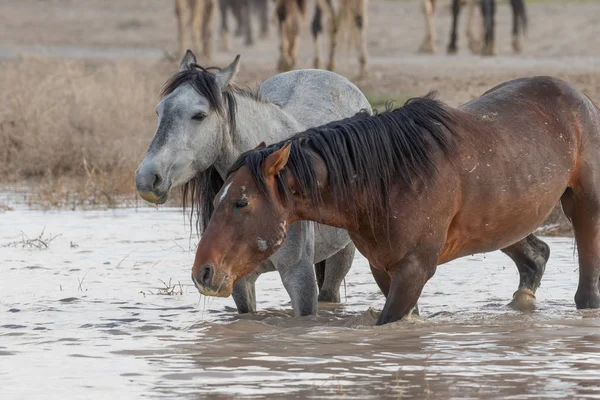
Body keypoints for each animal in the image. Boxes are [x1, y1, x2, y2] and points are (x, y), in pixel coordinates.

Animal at [136, 51, 372, 318]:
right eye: (159, 111)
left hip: (342, 254)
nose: (146, 178)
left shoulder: (299, 276)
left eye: (199, 115)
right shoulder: (236, 279)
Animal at [191, 76, 600, 326]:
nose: (202, 273)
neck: (390, 180)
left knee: (585, 281)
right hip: (502, 221)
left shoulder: (415, 268)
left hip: (584, 205)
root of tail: (578, 96)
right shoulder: (385, 268)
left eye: (241, 202)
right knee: (536, 256)